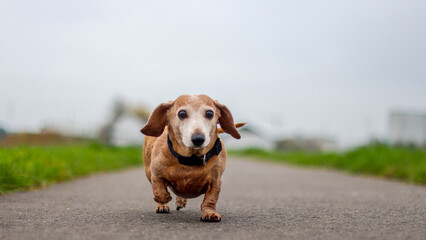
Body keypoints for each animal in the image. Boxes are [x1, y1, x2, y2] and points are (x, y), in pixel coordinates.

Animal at [141, 94, 243, 222]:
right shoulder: (156, 174)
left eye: (209, 113)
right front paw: (164, 200)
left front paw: (209, 213)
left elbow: (210, 199)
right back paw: (163, 206)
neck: (191, 160)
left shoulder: (216, 181)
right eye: (182, 113)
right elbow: (159, 191)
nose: (198, 138)